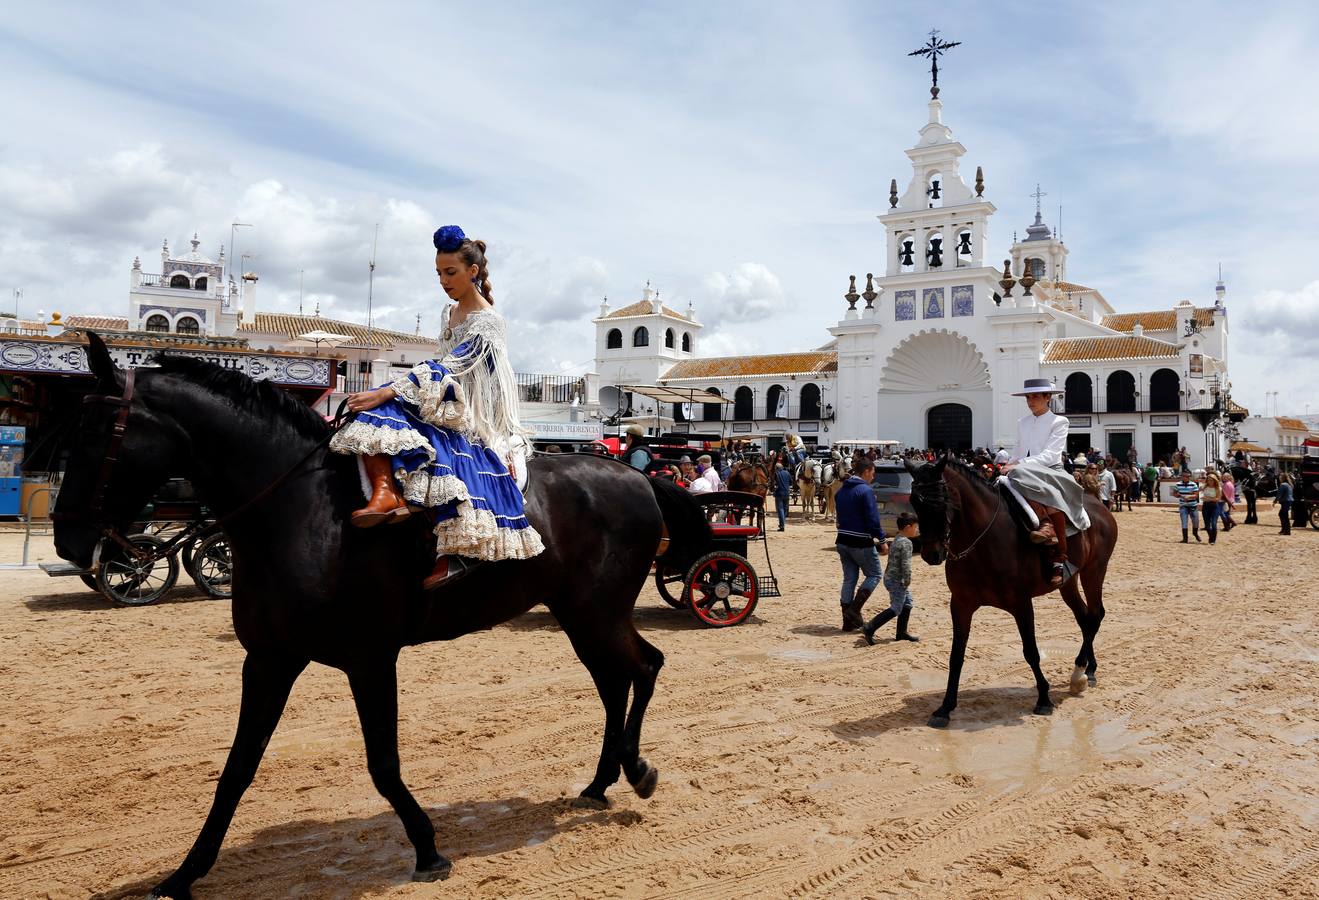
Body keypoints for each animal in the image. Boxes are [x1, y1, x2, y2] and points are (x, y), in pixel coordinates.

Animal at [54, 332, 712, 892]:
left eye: (94, 431)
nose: (66, 540)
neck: (304, 514)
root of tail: (637, 476)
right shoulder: (268, 660)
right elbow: (237, 768)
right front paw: (185, 874)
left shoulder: (370, 660)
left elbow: (382, 763)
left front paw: (428, 848)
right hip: (580, 614)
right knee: (616, 680)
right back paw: (603, 780)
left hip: (596, 612)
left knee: (643, 667)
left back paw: (633, 770)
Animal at [907, 456, 1113, 728]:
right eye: (914, 502)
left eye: (941, 500)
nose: (931, 554)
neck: (983, 540)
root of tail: (1101, 507)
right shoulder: (960, 604)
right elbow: (956, 656)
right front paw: (945, 708)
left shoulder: (1021, 604)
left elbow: (1031, 652)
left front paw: (1044, 699)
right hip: (1069, 581)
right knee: (1085, 619)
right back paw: (1088, 670)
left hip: (1094, 571)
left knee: (1096, 615)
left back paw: (1079, 673)